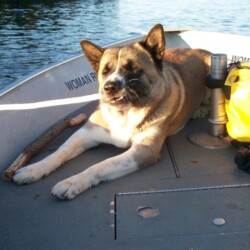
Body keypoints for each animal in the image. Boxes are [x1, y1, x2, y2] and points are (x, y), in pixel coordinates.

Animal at [12, 23, 210, 199]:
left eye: (133, 68)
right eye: (104, 71)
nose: (109, 87)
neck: (124, 115)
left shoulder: (144, 151)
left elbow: (101, 165)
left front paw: (73, 182)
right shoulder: (84, 134)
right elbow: (59, 152)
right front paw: (33, 169)